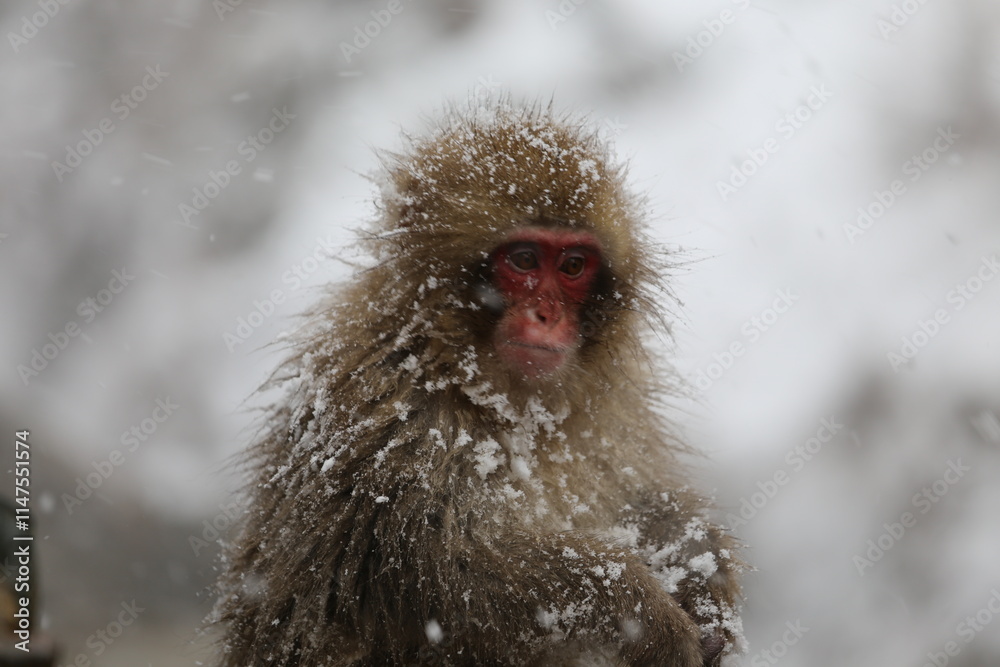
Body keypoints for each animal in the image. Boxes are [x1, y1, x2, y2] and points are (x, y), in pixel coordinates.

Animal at [214, 99, 745, 667]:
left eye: (574, 266)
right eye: (524, 260)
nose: (547, 314)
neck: (484, 388)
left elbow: (641, 497)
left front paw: (702, 573)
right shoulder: (385, 414)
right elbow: (428, 574)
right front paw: (634, 608)